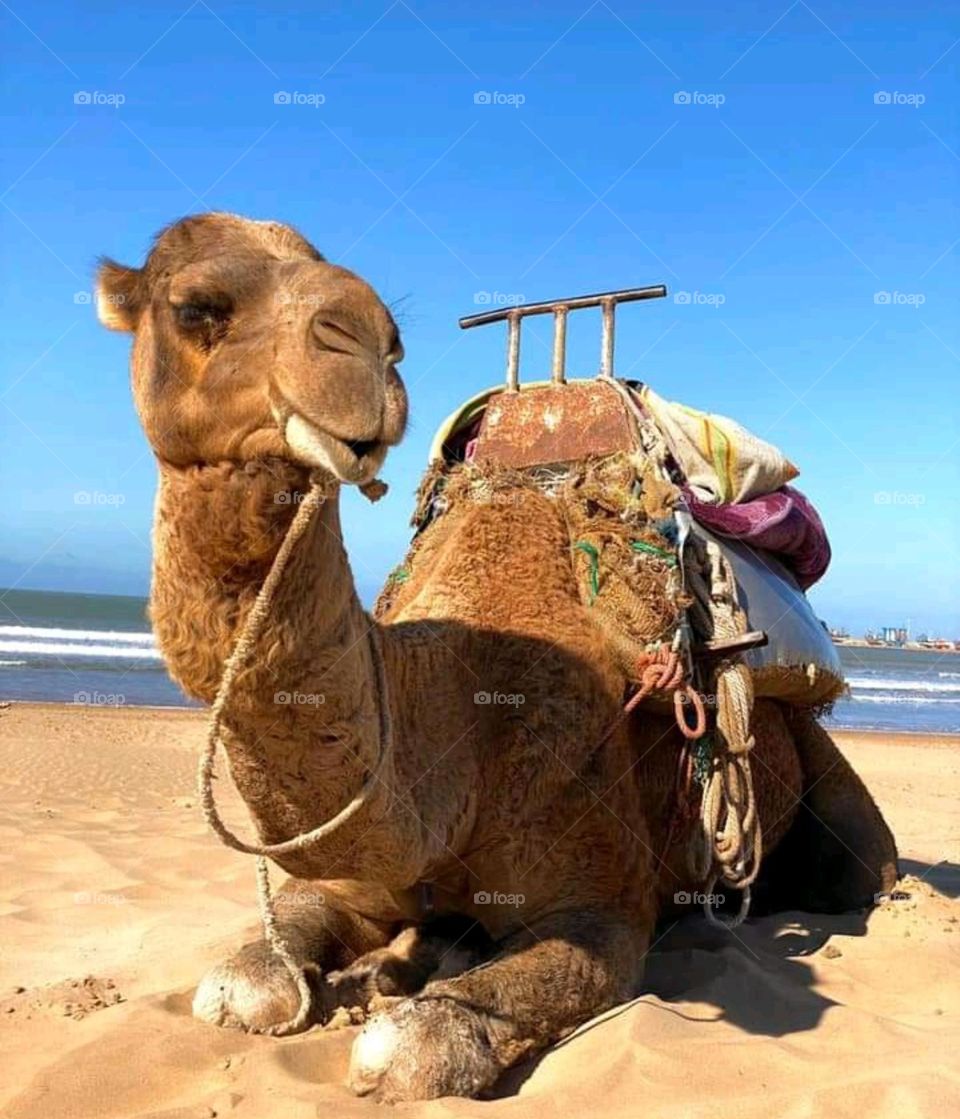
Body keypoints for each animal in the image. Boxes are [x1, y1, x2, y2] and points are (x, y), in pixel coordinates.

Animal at [97, 213, 899, 1105]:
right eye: (196, 306)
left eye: (394, 333)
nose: (367, 341)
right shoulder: (359, 876)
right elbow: (240, 985)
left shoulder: (603, 902)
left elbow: (411, 1046)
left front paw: (419, 1006)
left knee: (864, 869)